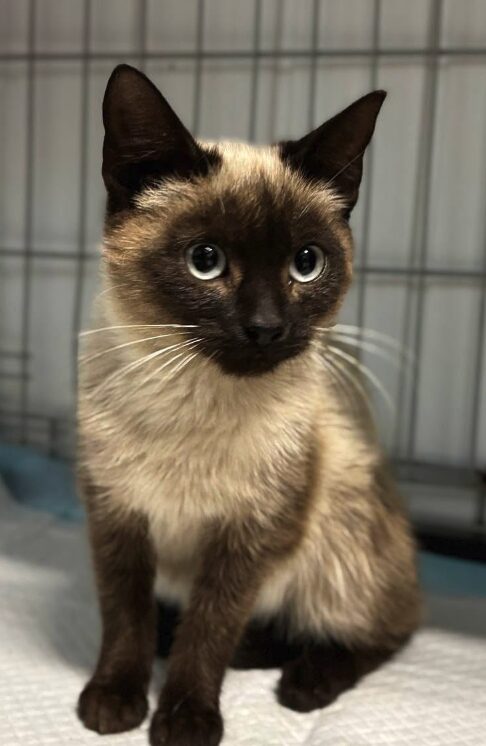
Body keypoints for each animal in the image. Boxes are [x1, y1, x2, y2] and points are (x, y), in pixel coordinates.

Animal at [78, 65, 420, 744]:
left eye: (306, 264)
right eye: (205, 261)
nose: (265, 327)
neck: (190, 399)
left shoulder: (249, 536)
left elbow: (211, 629)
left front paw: (184, 719)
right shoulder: (117, 516)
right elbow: (125, 615)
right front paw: (113, 702)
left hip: (338, 526)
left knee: (386, 628)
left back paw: (303, 683)